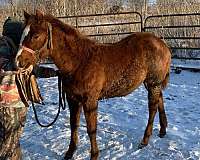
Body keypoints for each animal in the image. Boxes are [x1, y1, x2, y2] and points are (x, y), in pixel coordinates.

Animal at [15, 10, 171, 159]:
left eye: (35, 36)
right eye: (22, 34)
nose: (18, 61)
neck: (79, 62)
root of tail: (162, 44)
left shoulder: (90, 101)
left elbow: (91, 129)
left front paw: (94, 154)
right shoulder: (72, 99)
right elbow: (74, 124)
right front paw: (70, 152)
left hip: (153, 83)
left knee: (152, 108)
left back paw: (145, 140)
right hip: (152, 84)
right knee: (160, 100)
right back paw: (162, 131)